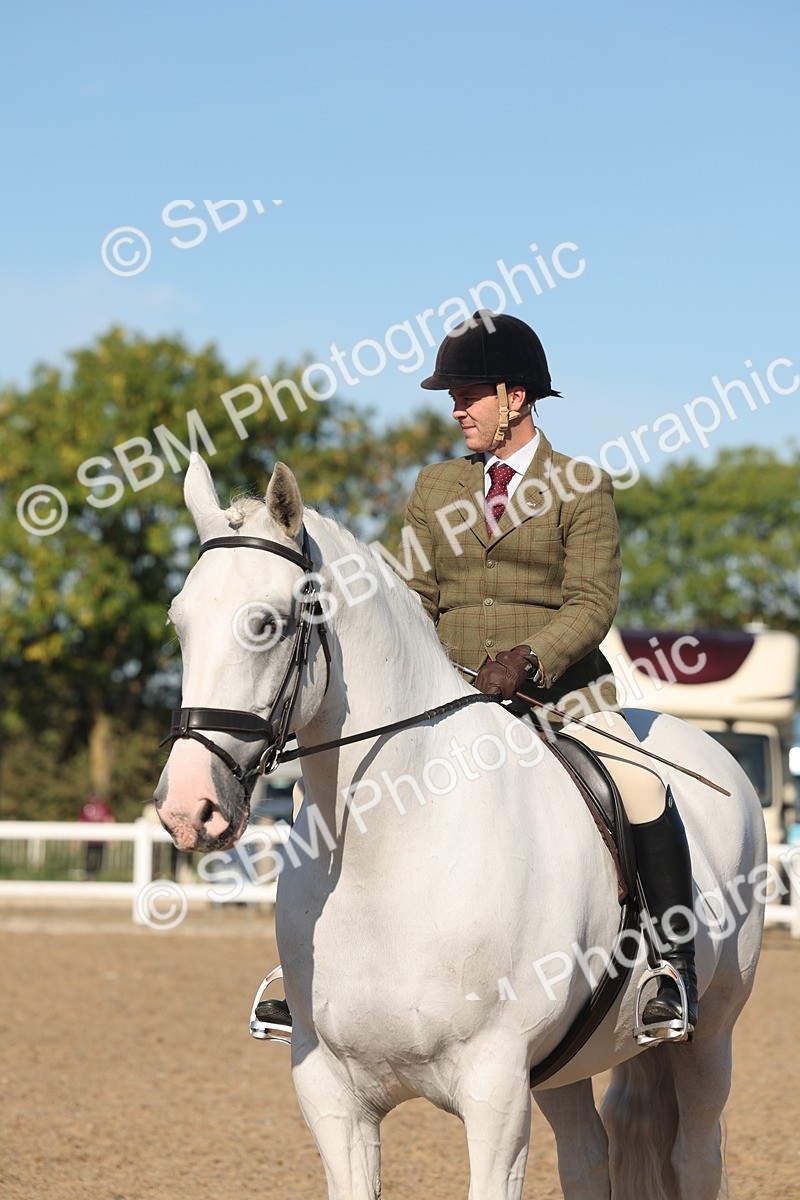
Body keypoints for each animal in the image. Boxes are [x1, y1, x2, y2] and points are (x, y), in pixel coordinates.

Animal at [154, 455, 766, 1200]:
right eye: (180, 622)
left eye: (267, 624)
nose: (188, 808)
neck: (386, 856)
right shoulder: (331, 1093)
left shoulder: (494, 1090)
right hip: (562, 1065)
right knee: (587, 1155)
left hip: (711, 1039)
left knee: (696, 1155)